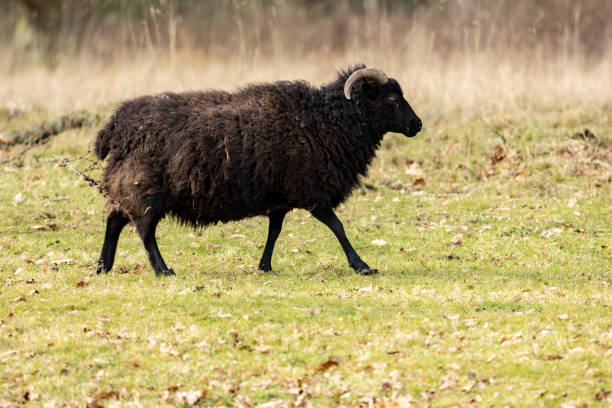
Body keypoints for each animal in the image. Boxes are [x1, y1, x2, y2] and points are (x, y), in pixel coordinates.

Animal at [94, 66, 420, 278]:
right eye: (392, 99)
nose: (417, 125)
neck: (326, 122)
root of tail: (115, 127)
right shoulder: (313, 192)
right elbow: (337, 227)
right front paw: (362, 265)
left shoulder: (281, 196)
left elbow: (274, 232)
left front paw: (265, 266)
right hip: (146, 187)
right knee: (144, 230)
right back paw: (162, 270)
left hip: (131, 185)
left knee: (115, 221)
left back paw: (102, 267)